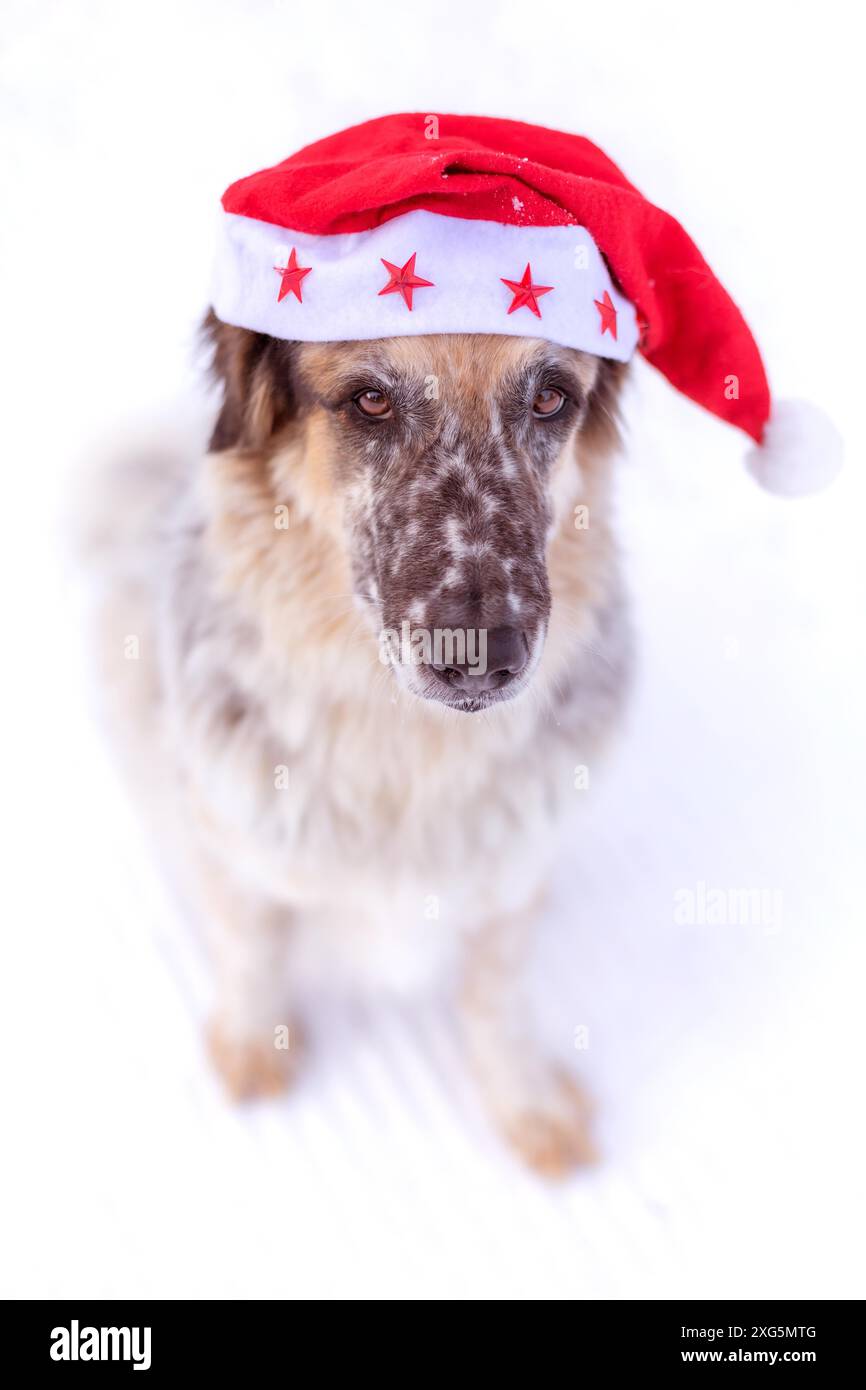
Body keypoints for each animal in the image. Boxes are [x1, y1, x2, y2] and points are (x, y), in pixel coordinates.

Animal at [86, 312, 631, 1173]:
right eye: (370, 400)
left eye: (551, 397)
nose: (482, 655)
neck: (406, 750)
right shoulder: (235, 834)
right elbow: (251, 944)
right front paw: (253, 1046)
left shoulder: (512, 876)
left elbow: (498, 997)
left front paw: (526, 1103)